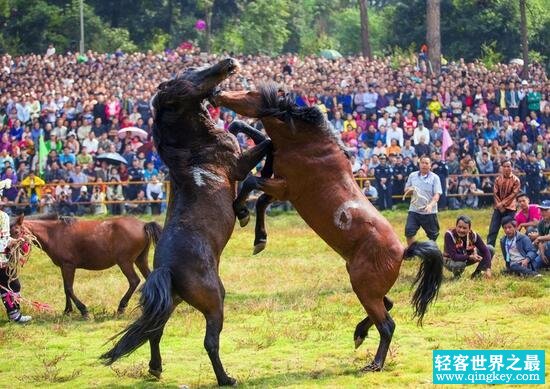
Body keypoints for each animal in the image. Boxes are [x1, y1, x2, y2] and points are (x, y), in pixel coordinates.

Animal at [10, 212, 162, 316]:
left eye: (16, 231)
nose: (8, 249)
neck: (54, 233)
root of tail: (143, 225)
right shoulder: (63, 267)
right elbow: (66, 288)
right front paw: (67, 310)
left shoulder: (68, 266)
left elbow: (69, 288)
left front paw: (83, 310)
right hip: (140, 260)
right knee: (149, 277)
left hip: (125, 262)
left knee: (134, 281)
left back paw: (121, 307)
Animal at [102, 58, 274, 384]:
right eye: (186, 78)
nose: (227, 63)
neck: (194, 149)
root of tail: (167, 269)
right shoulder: (238, 164)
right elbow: (265, 148)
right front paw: (244, 213)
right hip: (214, 301)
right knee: (209, 341)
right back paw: (226, 378)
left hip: (173, 302)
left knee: (154, 332)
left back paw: (155, 368)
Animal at [213, 83, 446, 372]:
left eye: (249, 93)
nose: (217, 93)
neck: (306, 143)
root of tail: (404, 251)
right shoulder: (280, 187)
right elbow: (262, 196)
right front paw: (259, 239)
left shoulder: (284, 187)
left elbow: (251, 183)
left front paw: (241, 212)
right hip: (367, 287)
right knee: (388, 304)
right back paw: (359, 334)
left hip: (364, 287)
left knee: (387, 324)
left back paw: (374, 363)